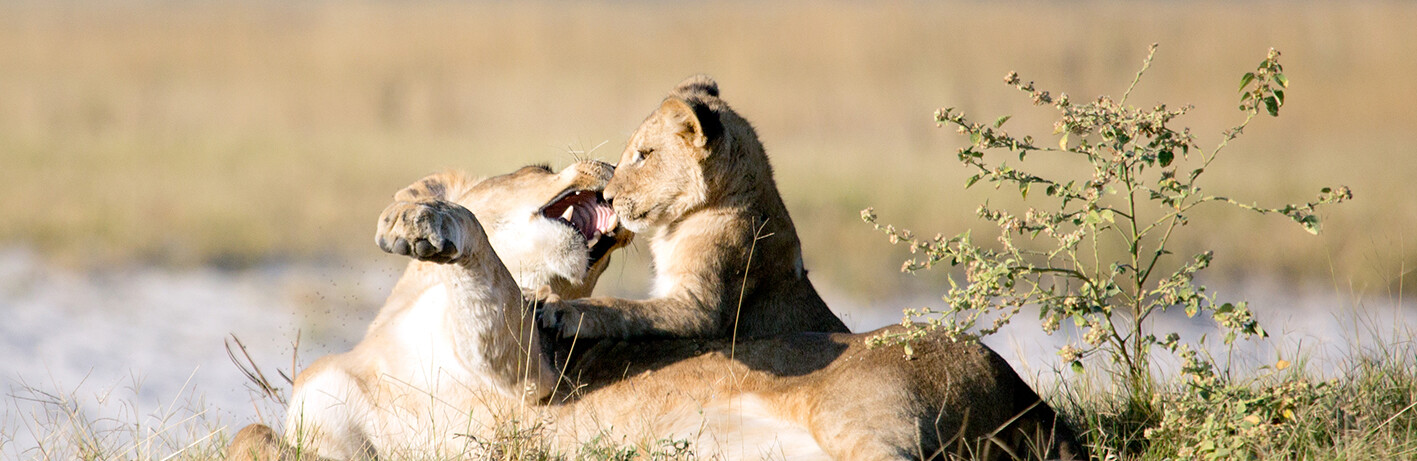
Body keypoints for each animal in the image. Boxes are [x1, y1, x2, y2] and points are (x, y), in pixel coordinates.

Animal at [226, 158, 1082, 459]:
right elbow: (249, 436)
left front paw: (419, 221)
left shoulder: (527, 371)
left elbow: (486, 268)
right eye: (541, 163)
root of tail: (1028, 400)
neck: (390, 345)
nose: (608, 168)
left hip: (869, 413)